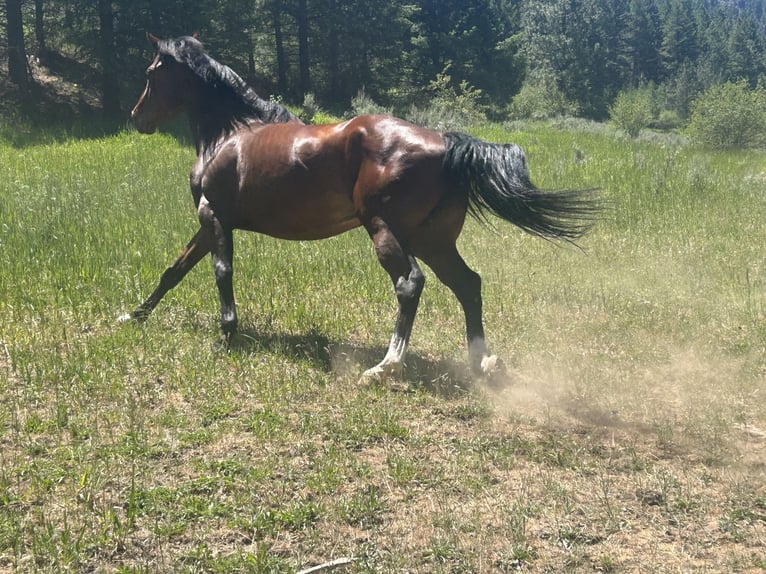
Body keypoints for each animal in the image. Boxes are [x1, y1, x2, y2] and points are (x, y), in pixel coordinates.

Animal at [124, 33, 598, 382]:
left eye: (150, 72)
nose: (135, 117)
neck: (232, 133)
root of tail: (446, 143)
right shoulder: (211, 222)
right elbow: (174, 269)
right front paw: (135, 314)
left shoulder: (215, 215)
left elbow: (221, 271)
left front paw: (227, 335)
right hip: (433, 240)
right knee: (468, 284)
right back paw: (479, 362)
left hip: (385, 228)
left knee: (410, 283)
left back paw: (385, 366)